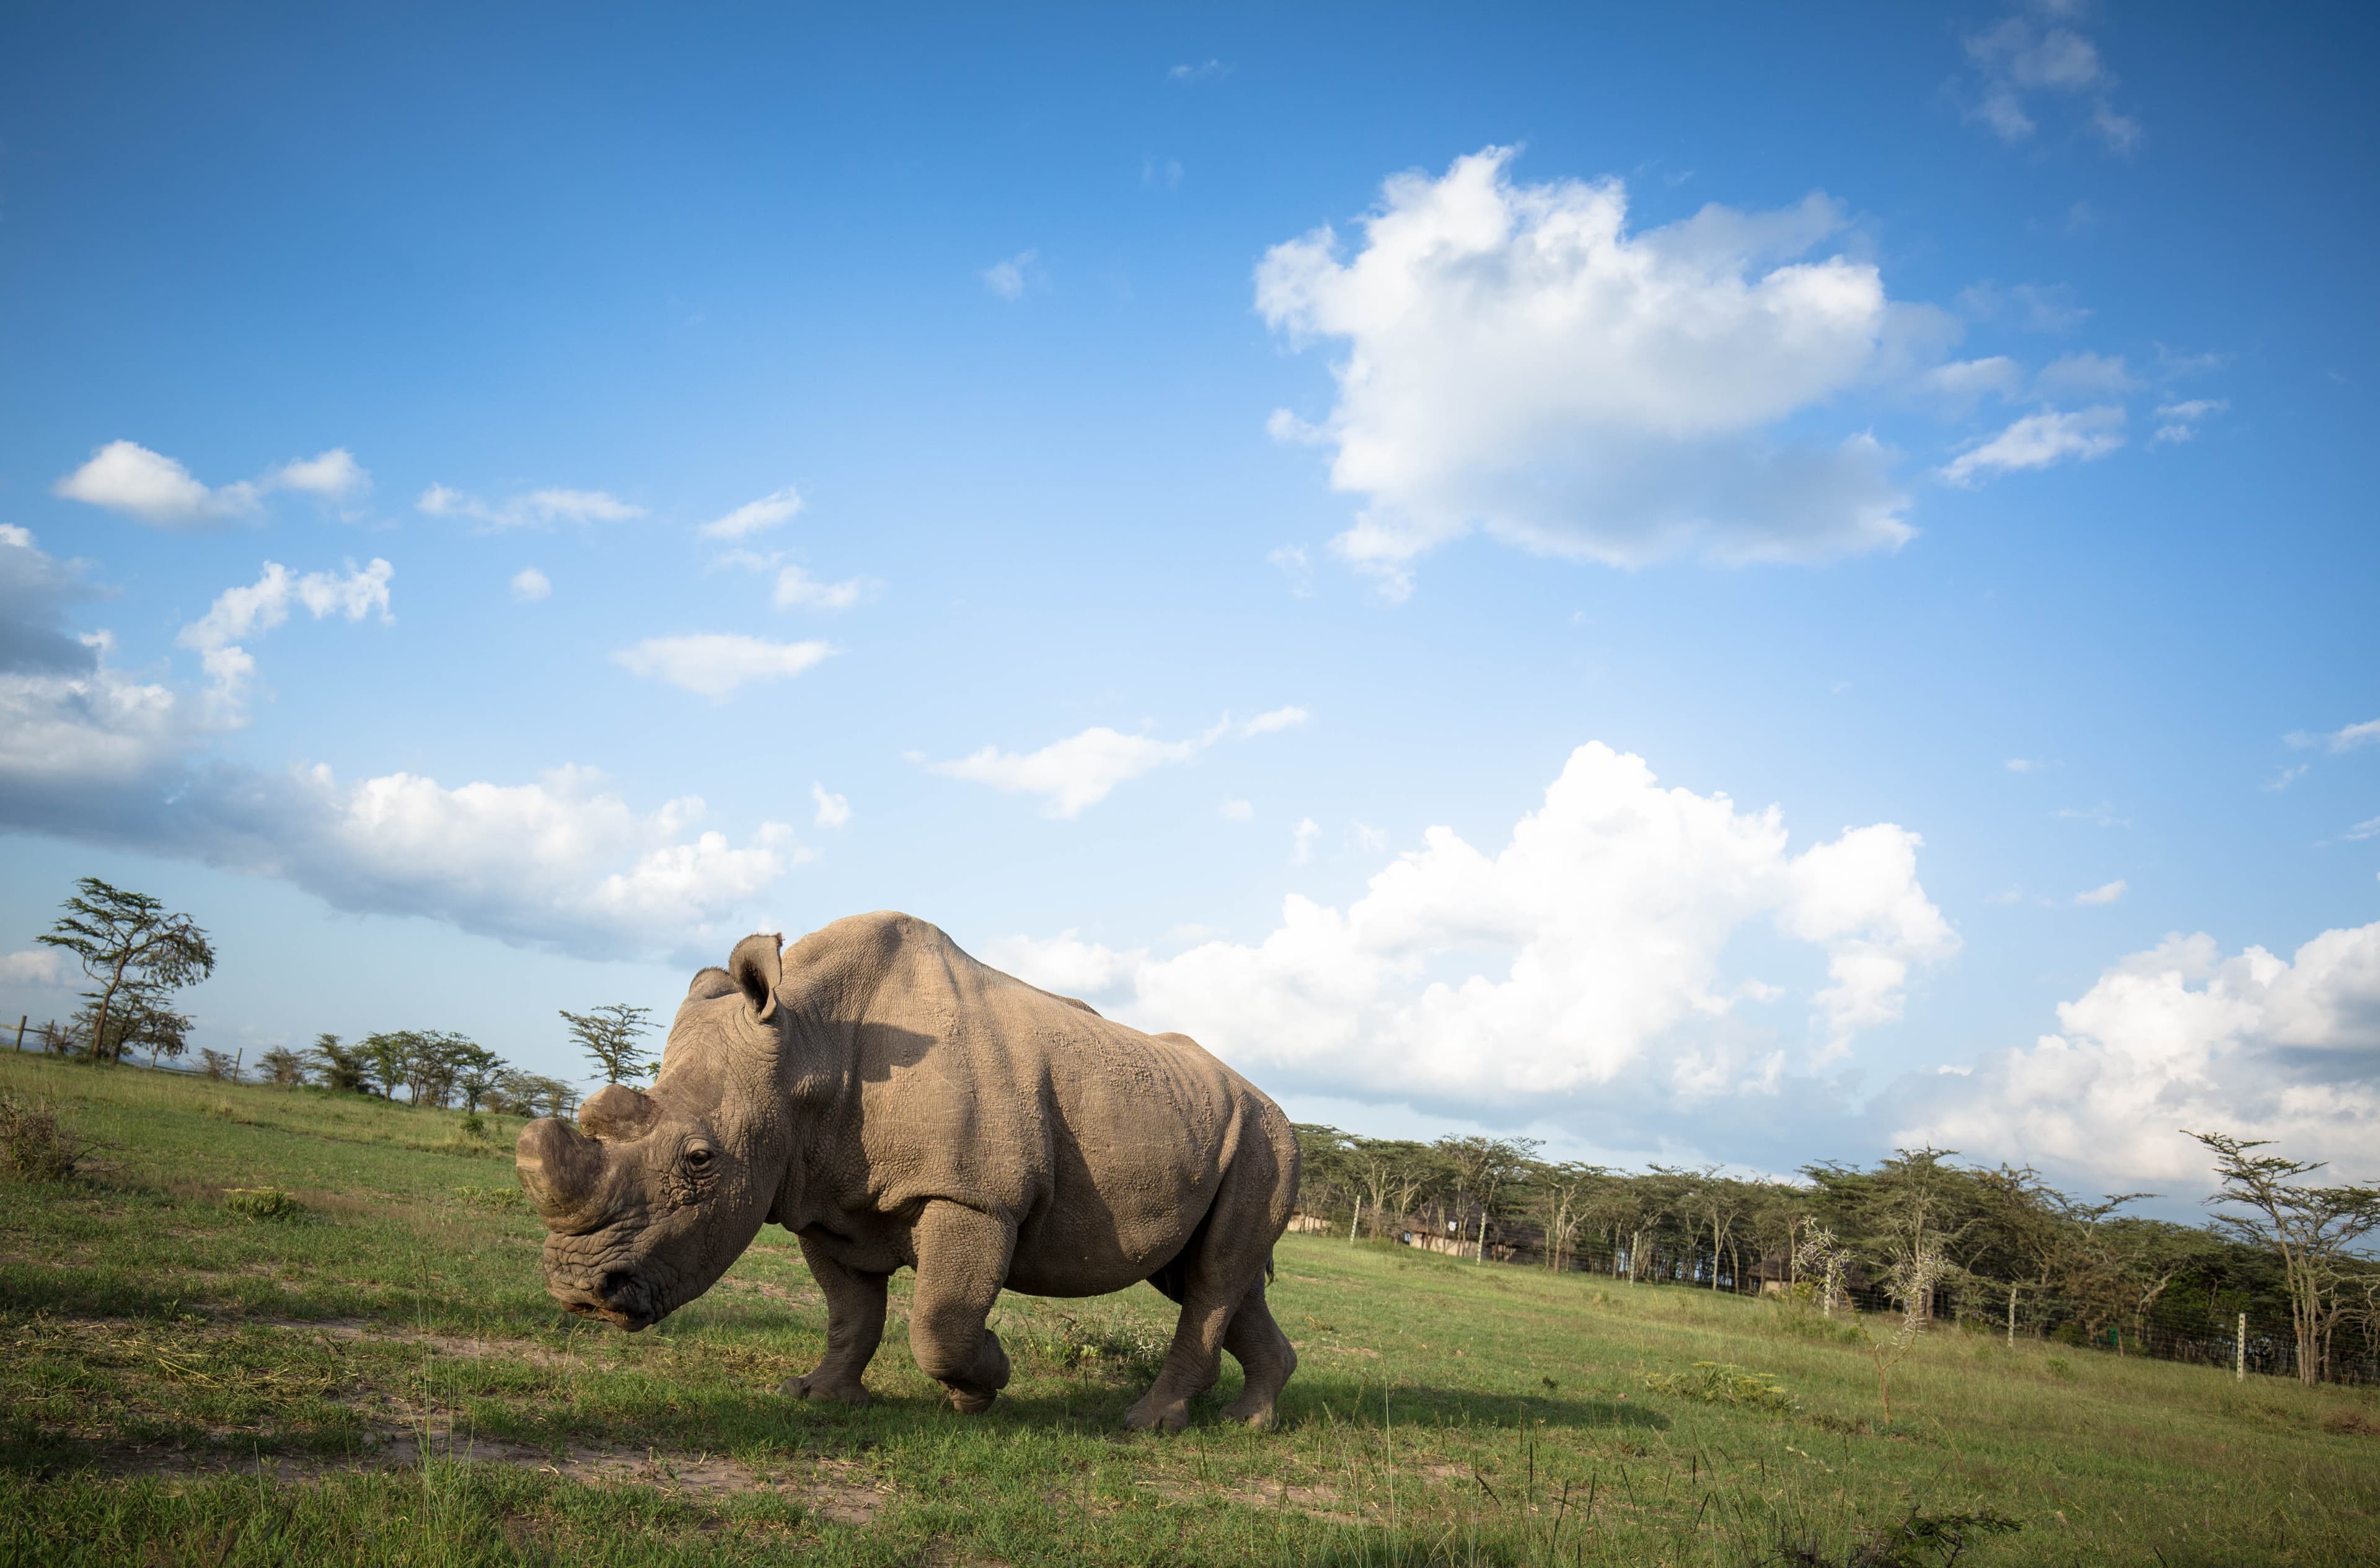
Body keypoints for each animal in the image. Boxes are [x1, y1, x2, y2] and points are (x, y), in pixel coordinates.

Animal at [515, 911, 1301, 1431]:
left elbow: (939, 1323)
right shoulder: (819, 1197)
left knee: (1211, 1278)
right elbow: (851, 1313)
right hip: (1218, 1129)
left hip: (1267, 1143)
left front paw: (983, 1384)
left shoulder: (974, 1196)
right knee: (1201, 1275)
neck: (808, 1048)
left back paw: (1150, 1423)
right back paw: (1251, 1421)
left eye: (700, 1160)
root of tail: (1276, 1106)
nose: (579, 1291)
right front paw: (818, 1395)